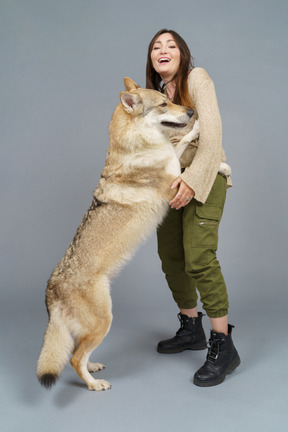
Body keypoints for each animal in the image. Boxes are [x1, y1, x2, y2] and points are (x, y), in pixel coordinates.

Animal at [36, 77, 200, 392]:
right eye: (164, 104)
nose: (191, 111)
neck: (137, 147)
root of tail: (52, 289)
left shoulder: (173, 166)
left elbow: (179, 146)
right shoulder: (173, 182)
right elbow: (181, 158)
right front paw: (199, 135)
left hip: (93, 326)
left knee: (77, 352)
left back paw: (93, 368)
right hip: (105, 321)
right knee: (74, 358)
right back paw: (95, 384)